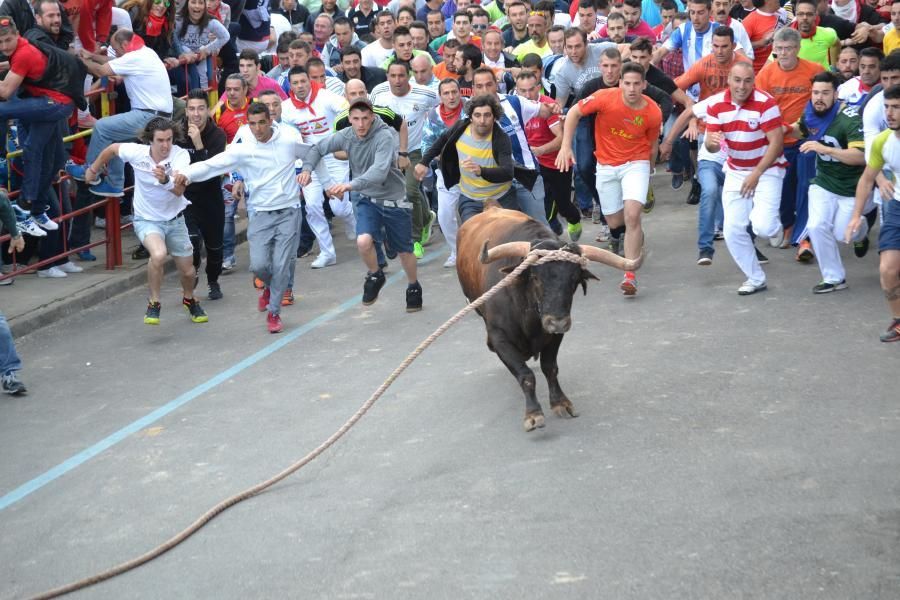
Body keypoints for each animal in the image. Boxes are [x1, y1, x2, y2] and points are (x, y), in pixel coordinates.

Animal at [458, 207, 640, 432]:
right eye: (535, 277)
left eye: (575, 280)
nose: (558, 322)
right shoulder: (500, 337)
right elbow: (525, 375)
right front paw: (533, 413)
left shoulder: (554, 336)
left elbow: (550, 368)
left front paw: (561, 403)